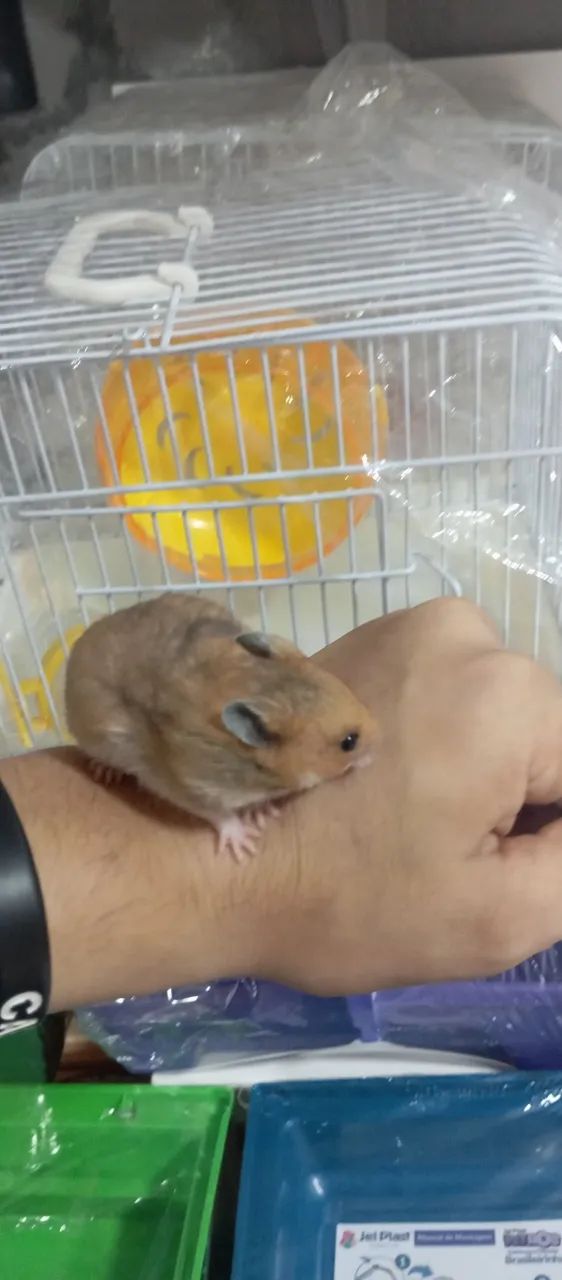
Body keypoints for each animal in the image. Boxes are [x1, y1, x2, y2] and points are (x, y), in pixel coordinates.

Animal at [65, 593, 377, 860]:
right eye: (349, 742)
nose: (381, 735)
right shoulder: (188, 787)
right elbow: (220, 814)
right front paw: (245, 844)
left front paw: (262, 813)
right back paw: (105, 771)